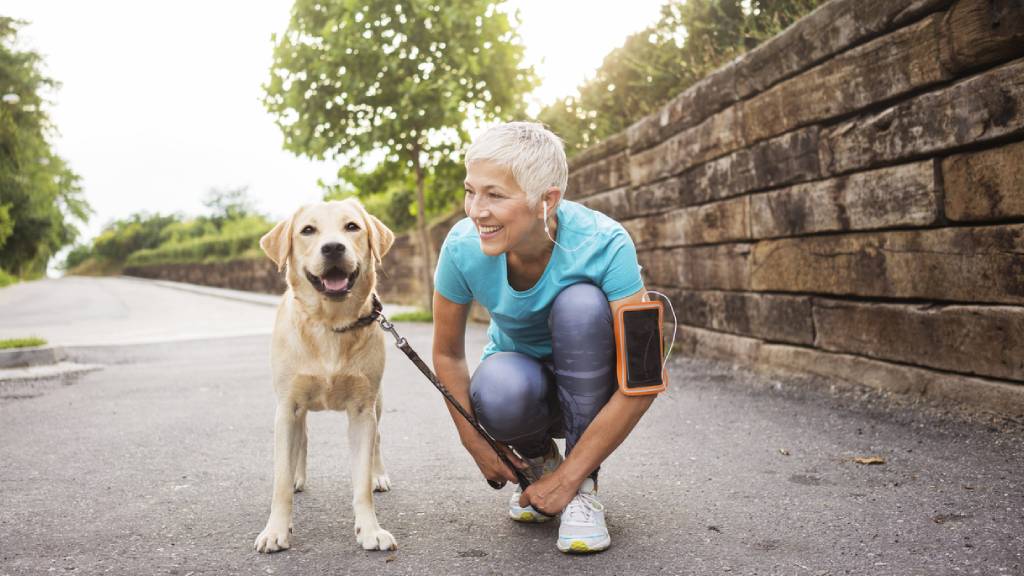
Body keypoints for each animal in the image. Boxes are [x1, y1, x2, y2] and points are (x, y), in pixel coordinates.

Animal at [253, 198, 397, 553]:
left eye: (352, 227)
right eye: (308, 230)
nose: (333, 248)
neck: (331, 325)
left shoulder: (361, 409)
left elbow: (360, 482)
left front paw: (369, 529)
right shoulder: (287, 406)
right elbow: (280, 481)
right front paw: (276, 530)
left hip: (377, 402)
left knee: (377, 438)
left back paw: (378, 474)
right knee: (302, 438)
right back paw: (297, 476)